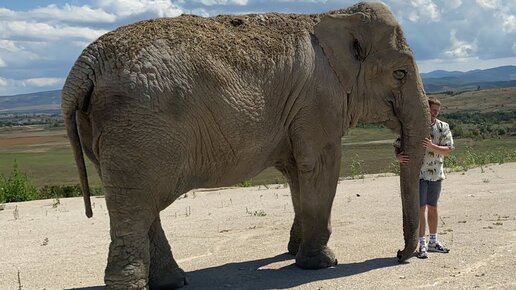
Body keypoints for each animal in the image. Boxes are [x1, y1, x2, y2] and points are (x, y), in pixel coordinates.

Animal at [62, 1, 430, 288]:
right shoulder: (318, 100)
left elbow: (296, 172)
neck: (331, 15)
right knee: (135, 205)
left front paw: (293, 252)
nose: (399, 255)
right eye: (400, 73)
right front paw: (321, 263)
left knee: (141, 203)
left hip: (107, 128)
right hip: (138, 127)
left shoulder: (299, 109)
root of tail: (85, 65)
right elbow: (320, 164)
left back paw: (173, 282)